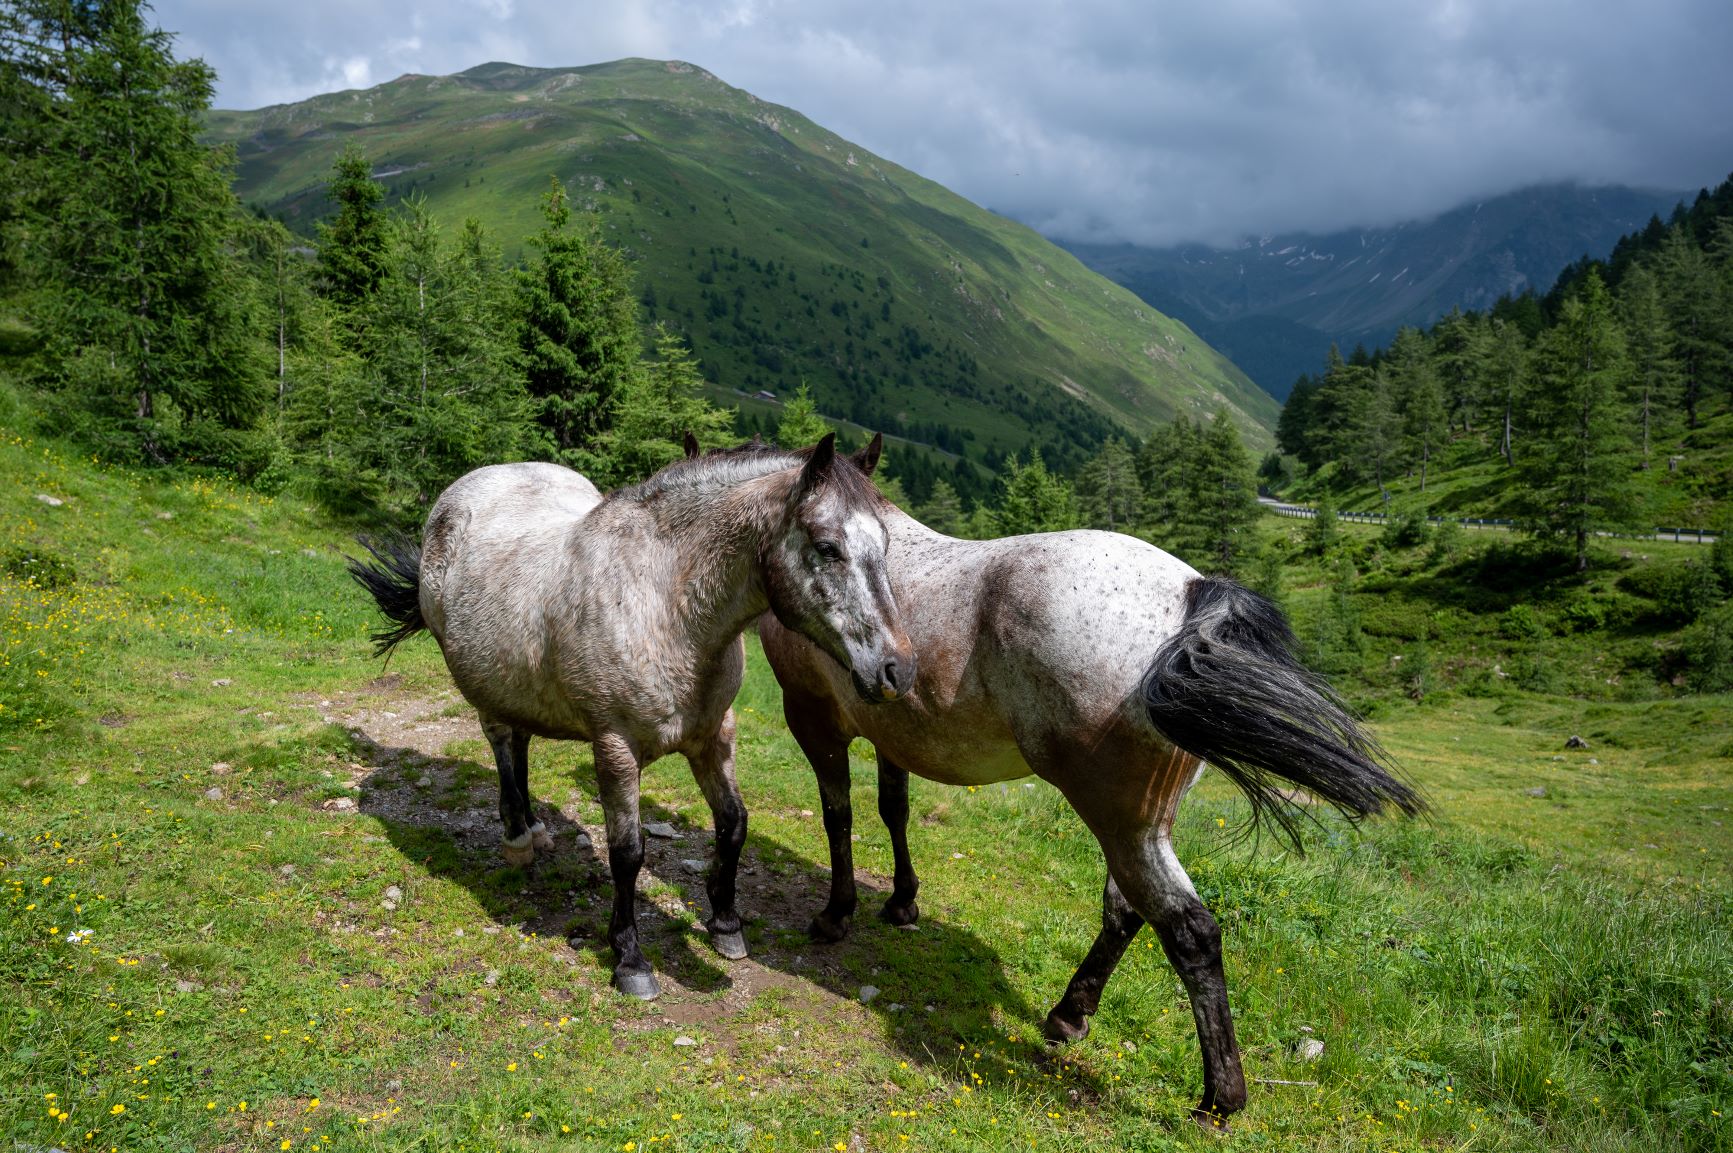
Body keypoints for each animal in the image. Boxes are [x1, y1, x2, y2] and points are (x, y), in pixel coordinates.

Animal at [353, 433, 921, 998]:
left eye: (885, 546)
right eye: (827, 547)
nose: (899, 669)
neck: (666, 606)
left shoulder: (714, 737)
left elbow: (733, 823)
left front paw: (725, 924)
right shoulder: (616, 747)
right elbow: (627, 851)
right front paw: (630, 958)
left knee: (520, 741)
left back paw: (535, 827)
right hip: (482, 684)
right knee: (498, 740)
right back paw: (517, 837)